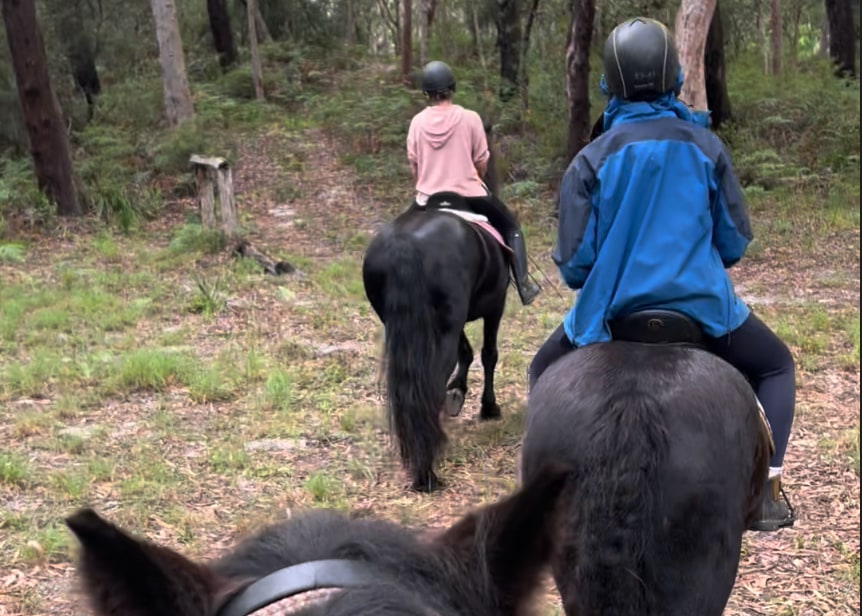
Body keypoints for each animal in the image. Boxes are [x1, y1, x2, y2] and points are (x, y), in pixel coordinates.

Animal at [361, 132, 511, 492]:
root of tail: (406, 242)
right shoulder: (496, 304)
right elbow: (488, 353)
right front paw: (488, 407)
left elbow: (466, 351)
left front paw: (457, 393)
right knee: (431, 378)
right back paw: (426, 472)